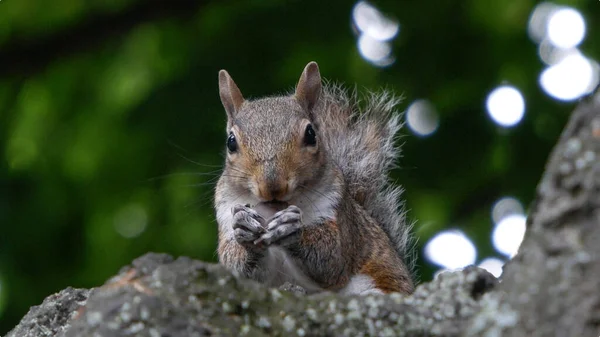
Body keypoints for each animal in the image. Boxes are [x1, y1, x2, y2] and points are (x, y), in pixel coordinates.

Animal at [213, 61, 414, 294]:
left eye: (311, 134)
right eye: (231, 142)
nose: (272, 187)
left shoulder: (338, 212)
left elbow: (331, 261)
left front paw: (293, 228)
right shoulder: (225, 212)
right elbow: (239, 267)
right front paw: (244, 228)